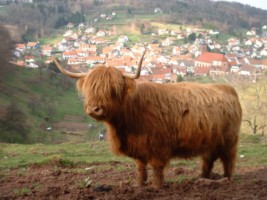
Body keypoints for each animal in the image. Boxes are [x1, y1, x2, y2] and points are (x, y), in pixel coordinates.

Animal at [54, 50, 243, 188]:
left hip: (229, 140)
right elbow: (140, 167)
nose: (94, 108)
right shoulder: (139, 147)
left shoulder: (159, 147)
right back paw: (202, 178)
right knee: (208, 160)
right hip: (210, 140)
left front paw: (156, 187)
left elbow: (157, 169)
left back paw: (226, 179)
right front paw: (139, 185)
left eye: (113, 90)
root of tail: (228, 89)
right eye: (90, 88)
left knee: (228, 160)